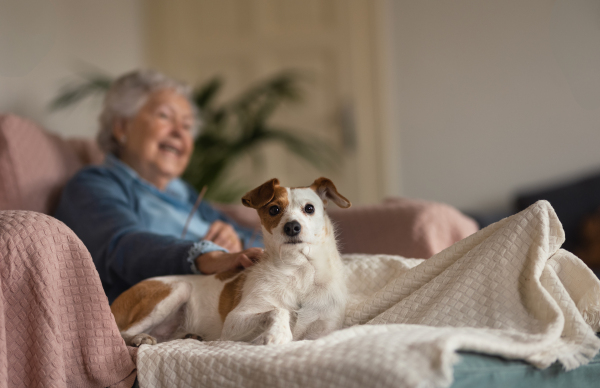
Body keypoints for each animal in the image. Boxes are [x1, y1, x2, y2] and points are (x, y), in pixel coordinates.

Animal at [111, 177, 352, 346]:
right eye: (274, 209)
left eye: (309, 208)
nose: (292, 227)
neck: (299, 270)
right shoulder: (234, 322)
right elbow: (278, 310)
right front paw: (278, 334)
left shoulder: (323, 330)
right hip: (177, 289)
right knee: (123, 331)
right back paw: (140, 337)